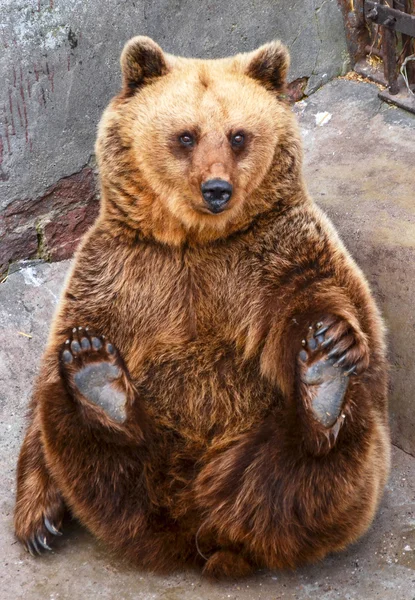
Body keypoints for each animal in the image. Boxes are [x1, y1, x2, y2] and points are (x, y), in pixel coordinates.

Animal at [12, 36, 390, 576]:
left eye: (238, 136)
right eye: (186, 136)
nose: (217, 189)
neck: (196, 239)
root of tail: (203, 525)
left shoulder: (275, 254)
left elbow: (316, 300)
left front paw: (332, 343)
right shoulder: (119, 277)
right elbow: (58, 355)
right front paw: (38, 518)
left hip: (280, 468)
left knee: (312, 471)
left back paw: (323, 392)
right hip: (140, 483)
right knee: (71, 418)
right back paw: (97, 380)